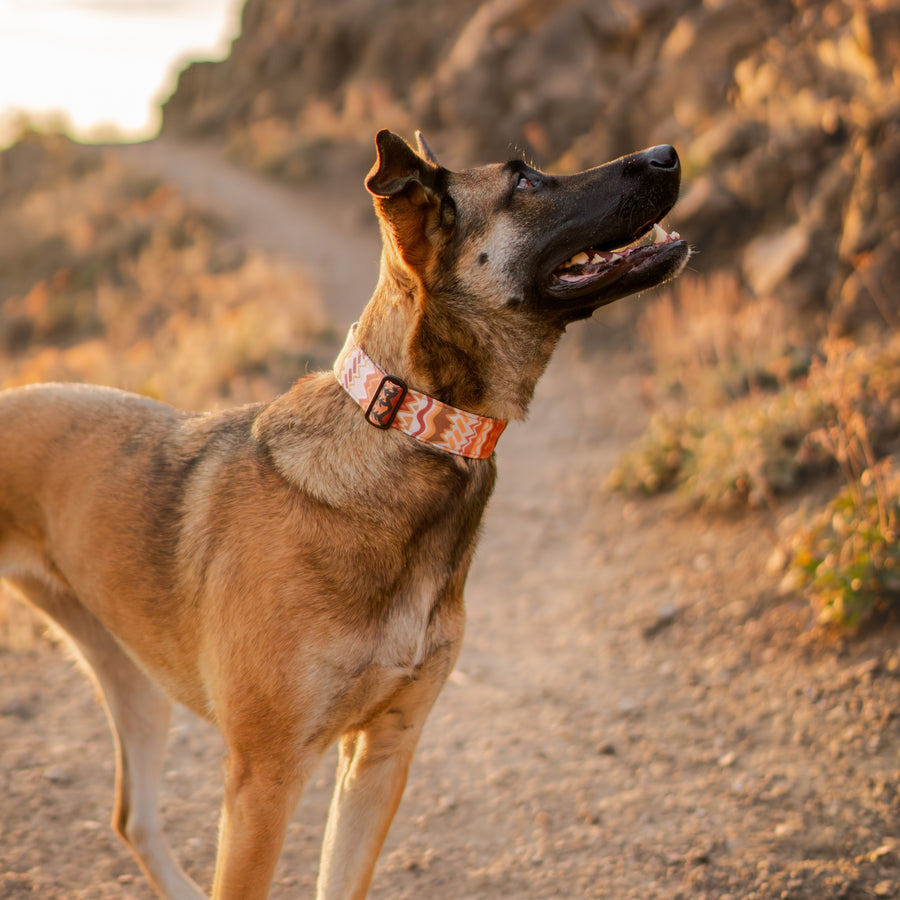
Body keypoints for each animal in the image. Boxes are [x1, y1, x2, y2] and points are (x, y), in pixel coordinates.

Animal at [0, 130, 688, 896]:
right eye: (525, 181)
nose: (667, 152)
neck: (408, 423)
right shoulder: (265, 779)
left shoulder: (384, 754)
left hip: (137, 684)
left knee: (135, 818)